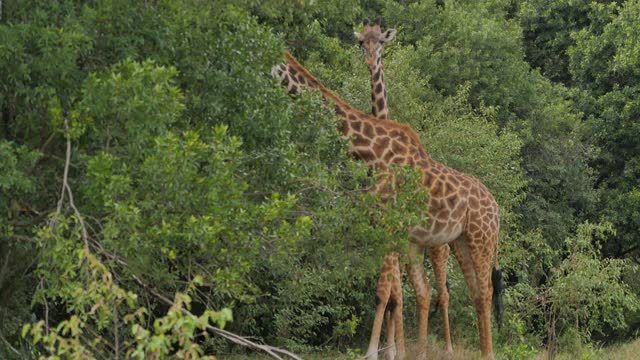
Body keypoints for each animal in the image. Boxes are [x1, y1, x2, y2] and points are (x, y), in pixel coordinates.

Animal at [272, 52, 502, 358]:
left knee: (482, 291)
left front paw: (373, 353)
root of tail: (497, 208)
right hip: (460, 241)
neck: (371, 150)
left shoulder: (389, 226)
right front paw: (393, 351)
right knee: (470, 292)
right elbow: (394, 293)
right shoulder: (387, 231)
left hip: (480, 239)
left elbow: (384, 292)